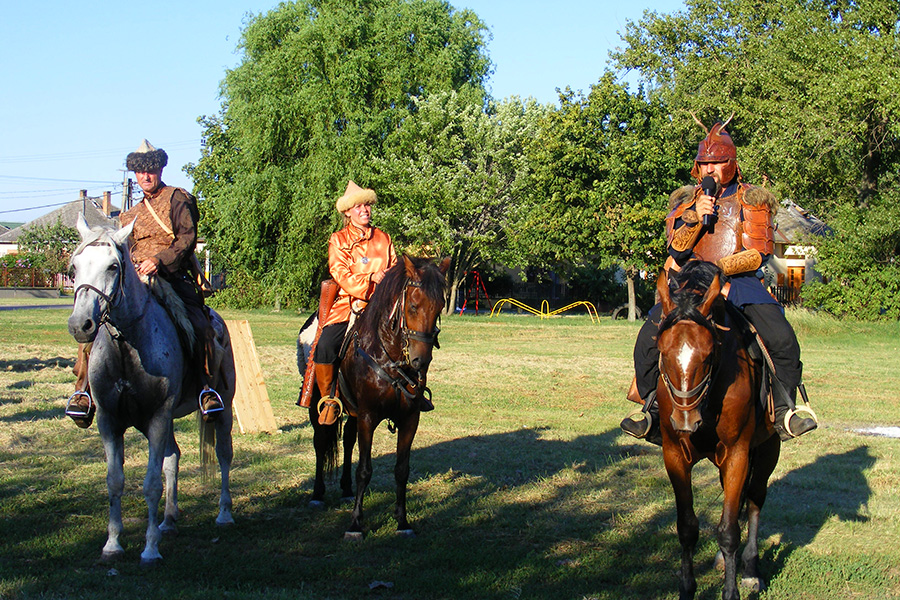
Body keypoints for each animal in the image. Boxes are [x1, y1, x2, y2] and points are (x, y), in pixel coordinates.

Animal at [67, 216, 236, 568]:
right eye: (75, 266)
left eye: (113, 266)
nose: (81, 325)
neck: (127, 346)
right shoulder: (111, 421)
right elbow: (115, 481)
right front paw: (113, 544)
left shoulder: (158, 417)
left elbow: (151, 484)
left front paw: (149, 549)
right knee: (173, 457)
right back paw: (168, 520)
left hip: (223, 409)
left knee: (224, 454)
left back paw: (224, 514)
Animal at [298, 253, 448, 540]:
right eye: (413, 305)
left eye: (440, 307)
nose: (420, 362)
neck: (388, 355)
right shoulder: (368, 416)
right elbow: (364, 469)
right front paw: (356, 524)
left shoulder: (409, 419)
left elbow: (401, 470)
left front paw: (402, 521)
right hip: (317, 407)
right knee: (321, 441)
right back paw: (317, 494)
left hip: (353, 412)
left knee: (347, 441)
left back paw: (346, 490)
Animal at [652, 262, 780, 600]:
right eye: (662, 352)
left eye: (709, 354)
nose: (685, 421)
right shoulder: (674, 455)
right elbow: (687, 527)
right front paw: (687, 588)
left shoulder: (738, 454)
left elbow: (729, 531)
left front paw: (732, 590)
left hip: (768, 448)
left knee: (754, 499)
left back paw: (750, 570)